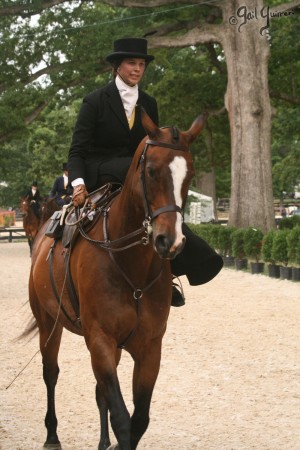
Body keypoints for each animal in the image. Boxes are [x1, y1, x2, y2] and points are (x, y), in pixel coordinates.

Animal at [27, 110, 207, 450]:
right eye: (150, 171)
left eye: (189, 175)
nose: (170, 241)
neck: (128, 265)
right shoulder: (100, 340)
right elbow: (123, 419)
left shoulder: (148, 347)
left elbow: (137, 420)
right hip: (49, 322)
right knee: (50, 373)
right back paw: (52, 435)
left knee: (100, 394)